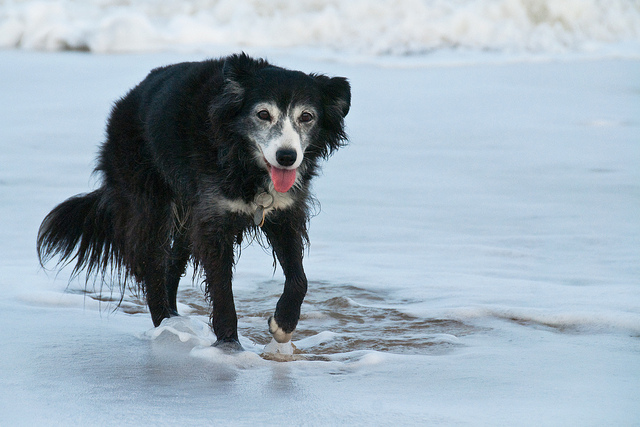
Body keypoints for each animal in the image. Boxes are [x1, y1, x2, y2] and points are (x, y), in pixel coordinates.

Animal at [37, 52, 350, 352]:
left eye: (307, 117)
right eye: (263, 114)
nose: (287, 157)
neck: (242, 159)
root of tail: (123, 104)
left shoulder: (283, 213)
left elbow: (299, 278)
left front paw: (282, 326)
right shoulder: (213, 219)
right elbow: (221, 285)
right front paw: (229, 344)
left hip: (187, 215)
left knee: (172, 264)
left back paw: (175, 320)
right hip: (148, 198)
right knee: (153, 263)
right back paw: (164, 323)